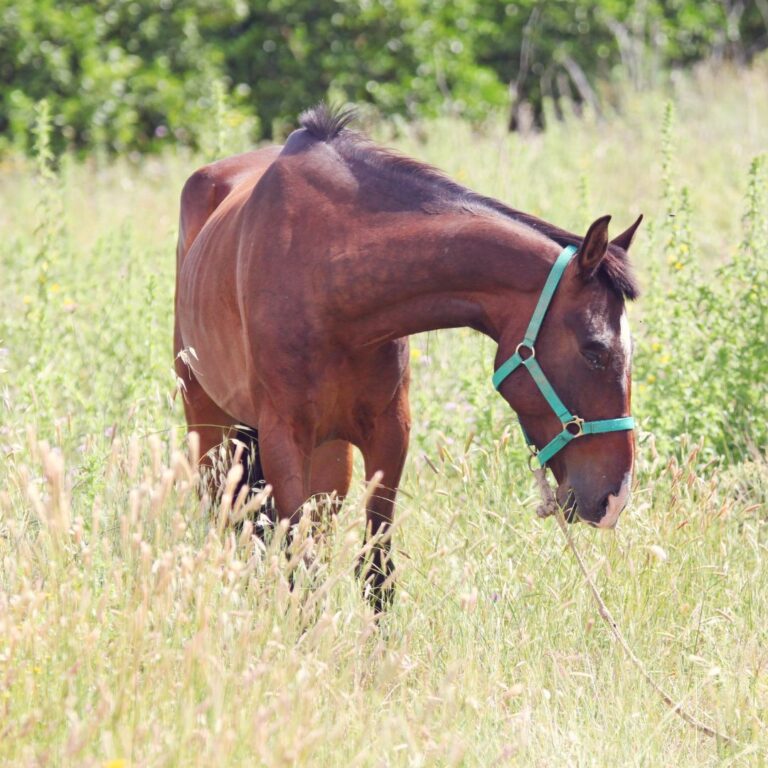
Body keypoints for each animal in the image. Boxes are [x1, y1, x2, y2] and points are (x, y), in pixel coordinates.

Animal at [174, 104, 641, 605]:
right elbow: (302, 570)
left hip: (329, 458)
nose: (614, 499)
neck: (326, 273)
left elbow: (375, 574)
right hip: (210, 430)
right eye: (594, 351)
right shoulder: (284, 439)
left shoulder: (389, 434)